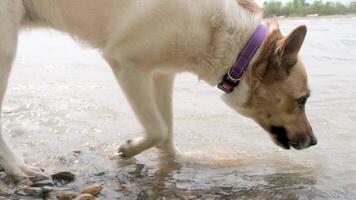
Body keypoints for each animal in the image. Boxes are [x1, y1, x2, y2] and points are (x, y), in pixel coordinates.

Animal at [0, 0, 318, 184]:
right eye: (302, 100)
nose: (314, 142)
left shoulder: (163, 76)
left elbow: (168, 137)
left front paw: (172, 165)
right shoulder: (126, 64)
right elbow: (158, 129)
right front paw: (127, 150)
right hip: (6, 46)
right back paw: (18, 169)